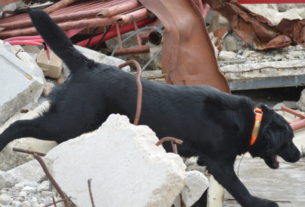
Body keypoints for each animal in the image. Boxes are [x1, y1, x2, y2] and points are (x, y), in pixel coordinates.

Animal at [0, 8, 300, 206]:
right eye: (288, 140)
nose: (298, 155)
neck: (250, 121)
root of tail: (88, 64)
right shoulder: (221, 164)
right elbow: (239, 188)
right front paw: (259, 202)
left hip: (74, 124)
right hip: (69, 120)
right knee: (19, 124)